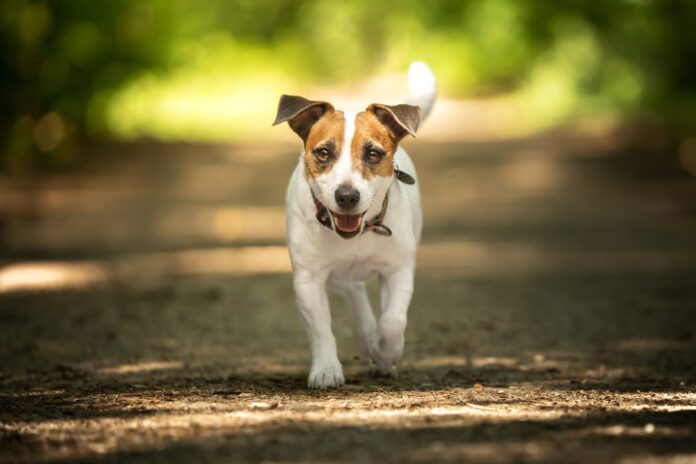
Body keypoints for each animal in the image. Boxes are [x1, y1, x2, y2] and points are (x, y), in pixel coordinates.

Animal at [272, 61, 436, 388]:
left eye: (373, 153)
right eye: (323, 152)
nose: (347, 196)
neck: (354, 235)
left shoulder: (397, 271)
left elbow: (393, 321)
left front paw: (384, 355)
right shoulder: (308, 280)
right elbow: (321, 330)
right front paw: (326, 369)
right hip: (338, 278)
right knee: (355, 293)